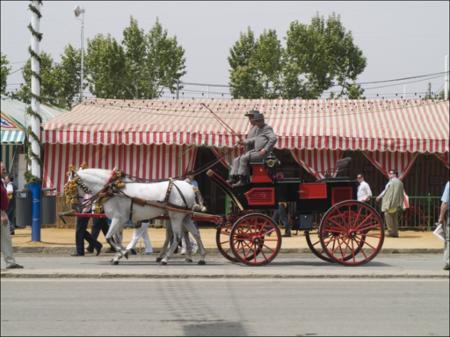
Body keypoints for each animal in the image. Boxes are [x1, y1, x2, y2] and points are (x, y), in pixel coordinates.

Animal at [69, 167, 207, 264]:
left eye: (72, 186)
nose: (74, 206)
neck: (112, 189)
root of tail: (190, 186)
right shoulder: (119, 220)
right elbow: (117, 238)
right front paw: (121, 254)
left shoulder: (118, 218)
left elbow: (109, 237)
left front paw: (121, 254)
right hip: (185, 216)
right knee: (195, 233)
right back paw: (201, 257)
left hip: (176, 216)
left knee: (177, 237)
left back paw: (165, 259)